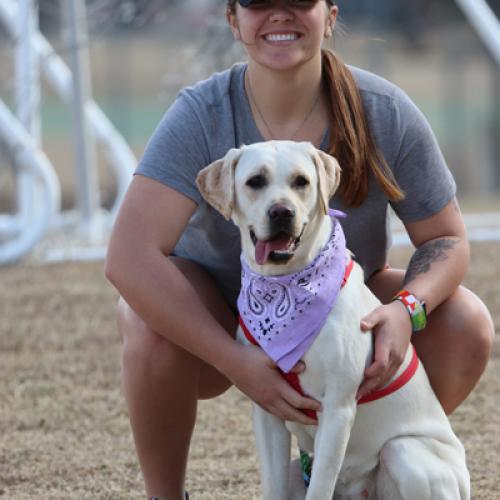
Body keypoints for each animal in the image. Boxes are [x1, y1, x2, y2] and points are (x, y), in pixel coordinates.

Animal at [194, 141, 468, 500]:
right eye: (255, 181)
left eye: (301, 181)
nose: (282, 212)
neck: (287, 284)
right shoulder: (267, 410)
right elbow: (273, 485)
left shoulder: (337, 409)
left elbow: (321, 486)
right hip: (299, 469)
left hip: (403, 453)